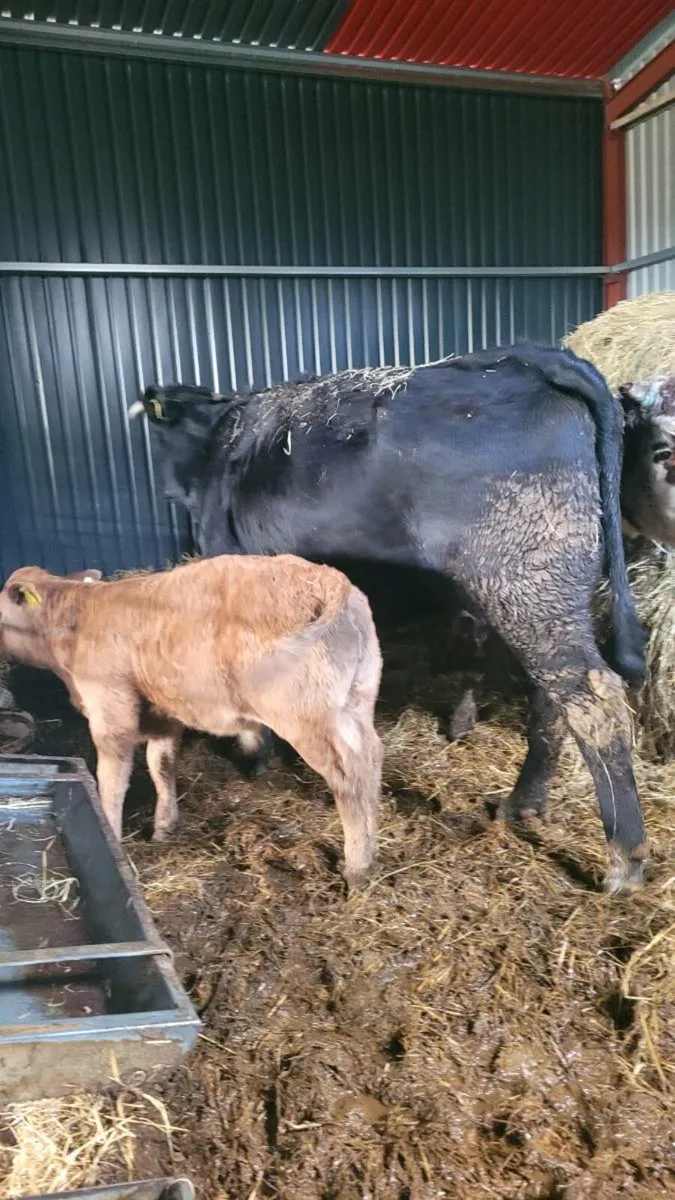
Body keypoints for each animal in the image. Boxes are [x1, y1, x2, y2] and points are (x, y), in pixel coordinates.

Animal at [0, 556, 383, 885]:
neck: (75, 619)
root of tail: (330, 580)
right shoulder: (162, 713)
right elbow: (162, 765)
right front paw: (166, 827)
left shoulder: (111, 711)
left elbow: (112, 778)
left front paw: (108, 829)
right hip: (356, 701)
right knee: (371, 759)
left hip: (307, 718)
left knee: (347, 776)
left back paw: (357, 866)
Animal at [130, 343, 649, 895]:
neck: (218, 441)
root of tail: (528, 357)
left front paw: (254, 755)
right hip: (543, 596)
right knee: (552, 696)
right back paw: (522, 804)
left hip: (525, 585)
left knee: (593, 700)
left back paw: (623, 860)